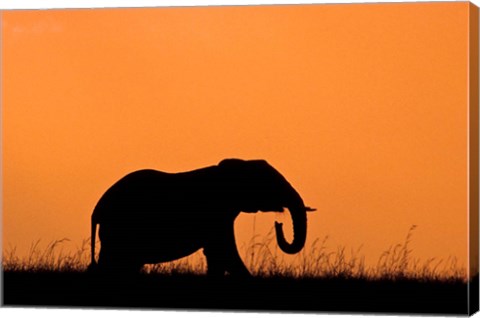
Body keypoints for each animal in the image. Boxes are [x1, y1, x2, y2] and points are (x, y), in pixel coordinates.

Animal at [89, 159, 316, 276]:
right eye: (270, 183)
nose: (278, 223)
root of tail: (97, 210)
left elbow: (216, 254)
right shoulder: (216, 212)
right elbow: (224, 251)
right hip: (120, 229)